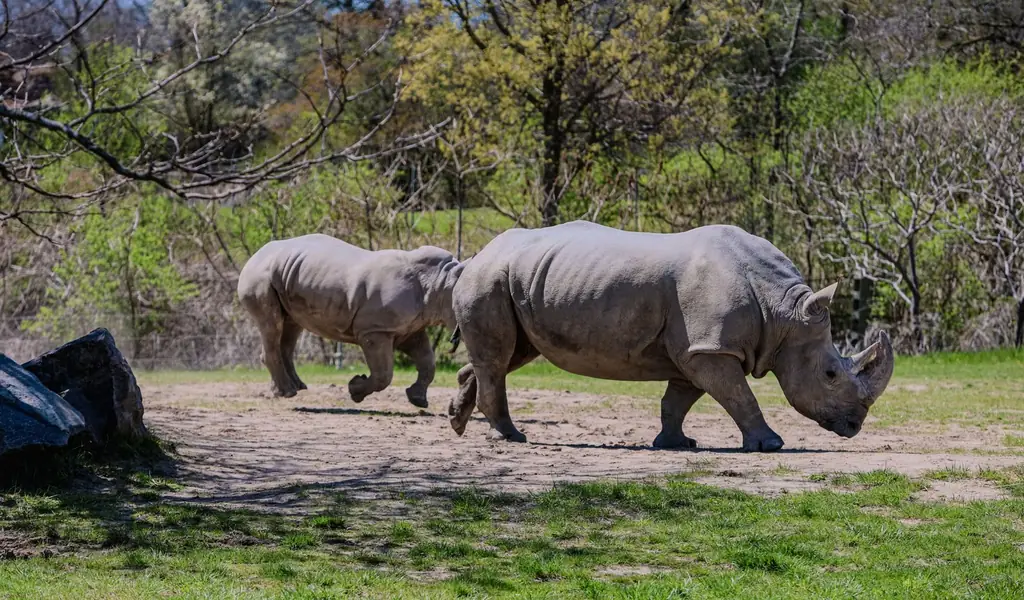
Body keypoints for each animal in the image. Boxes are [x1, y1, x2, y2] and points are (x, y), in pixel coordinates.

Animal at [237, 234, 464, 407]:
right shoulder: (375, 330)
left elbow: (428, 362)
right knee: (271, 324)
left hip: (286, 276)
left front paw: (418, 400)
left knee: (291, 326)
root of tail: (255, 255)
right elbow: (384, 374)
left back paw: (294, 387)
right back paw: (288, 392)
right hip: (259, 277)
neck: (440, 283)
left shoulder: (410, 328)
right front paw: (355, 391)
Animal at [448, 221, 894, 452]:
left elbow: (679, 400)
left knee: (510, 354)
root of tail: (477, 253)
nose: (854, 426)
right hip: (491, 278)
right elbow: (740, 396)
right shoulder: (711, 348)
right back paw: (511, 437)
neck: (782, 310)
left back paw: (458, 421)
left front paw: (677, 444)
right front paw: (771, 445)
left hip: (518, 279)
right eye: (830, 374)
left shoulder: (699, 349)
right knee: (500, 357)